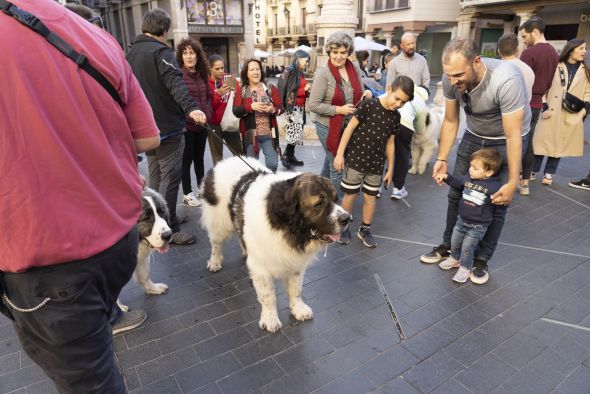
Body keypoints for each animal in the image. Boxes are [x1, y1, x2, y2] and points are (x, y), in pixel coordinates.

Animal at [201, 157, 354, 332]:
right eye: (319, 204)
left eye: (336, 199)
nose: (347, 218)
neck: (287, 226)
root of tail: (225, 161)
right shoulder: (262, 269)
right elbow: (268, 296)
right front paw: (270, 319)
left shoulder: (296, 264)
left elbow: (296, 290)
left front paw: (298, 310)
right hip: (219, 224)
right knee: (216, 243)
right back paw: (214, 262)